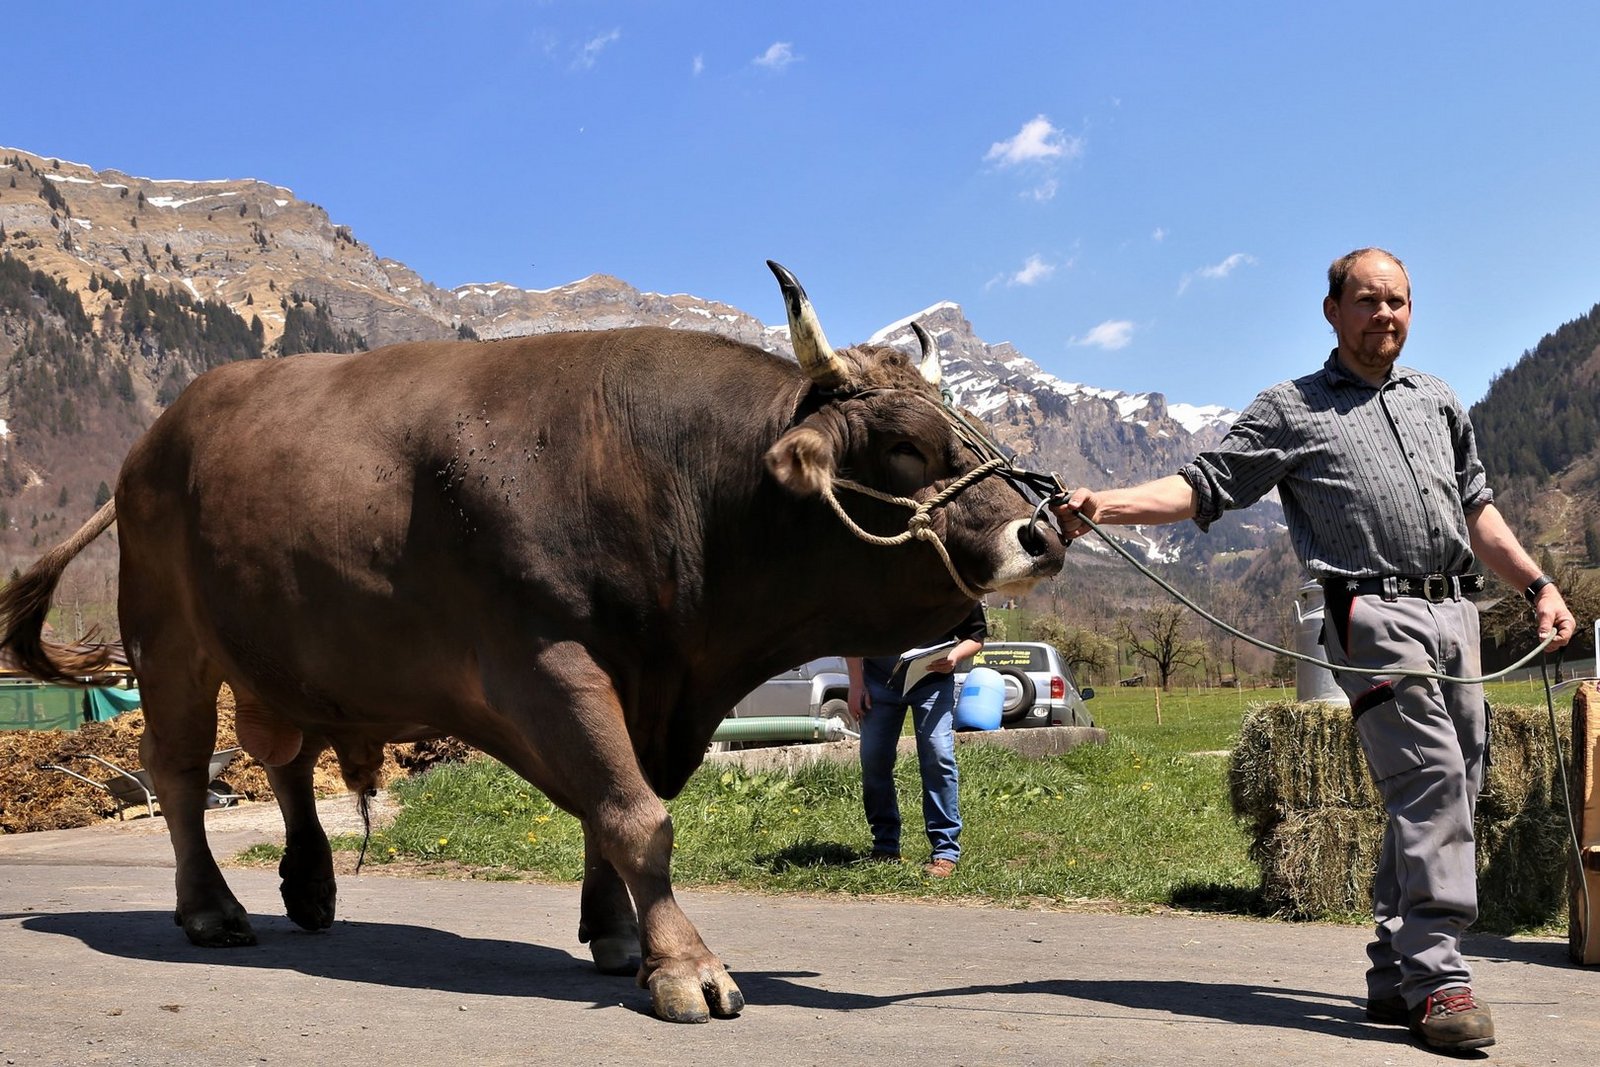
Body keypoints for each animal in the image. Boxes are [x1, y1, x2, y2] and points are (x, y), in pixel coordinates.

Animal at [0, 262, 1066, 1023]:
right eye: (903, 447)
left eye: (964, 430)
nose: (1044, 529)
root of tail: (153, 439)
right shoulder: (548, 662)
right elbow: (635, 812)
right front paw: (685, 964)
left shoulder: (646, 680)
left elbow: (611, 807)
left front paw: (621, 935)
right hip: (171, 643)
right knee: (181, 772)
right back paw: (211, 907)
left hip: (289, 652)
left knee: (289, 760)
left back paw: (308, 884)